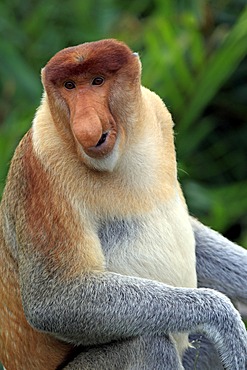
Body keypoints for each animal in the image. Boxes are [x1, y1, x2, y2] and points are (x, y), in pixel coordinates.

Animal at [0, 39, 247, 368]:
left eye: (97, 81)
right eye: (69, 85)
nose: (86, 126)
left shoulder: (157, 113)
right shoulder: (41, 169)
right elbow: (53, 301)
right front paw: (225, 320)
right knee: (147, 341)